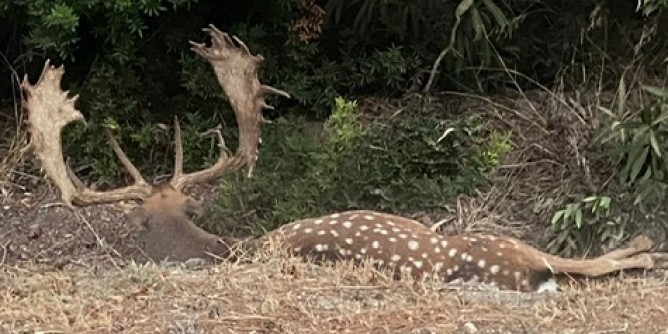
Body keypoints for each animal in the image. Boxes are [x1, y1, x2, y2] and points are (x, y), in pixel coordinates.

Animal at [19, 24, 668, 294]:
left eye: (189, 206)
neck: (227, 250)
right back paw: (646, 247)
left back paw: (644, 245)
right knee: (580, 263)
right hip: (498, 243)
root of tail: (523, 273)